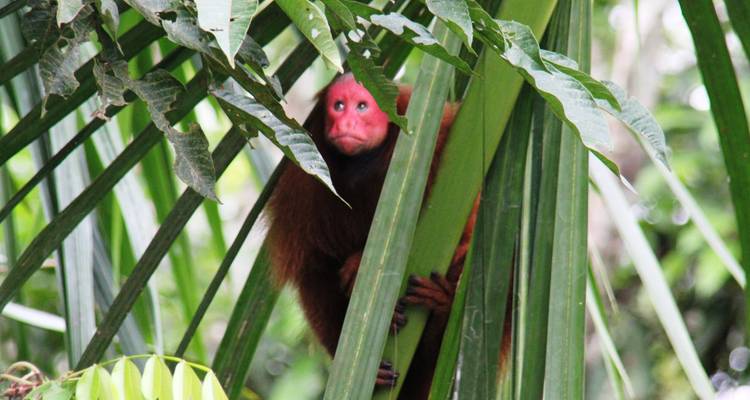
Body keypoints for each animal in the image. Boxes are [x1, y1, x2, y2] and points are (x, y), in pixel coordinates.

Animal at [266, 73, 478, 399]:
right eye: (339, 106)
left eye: (362, 107)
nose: (346, 123)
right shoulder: (303, 178)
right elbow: (313, 269)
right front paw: (356, 273)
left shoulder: (441, 136)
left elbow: (470, 217)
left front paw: (358, 266)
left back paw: (441, 309)